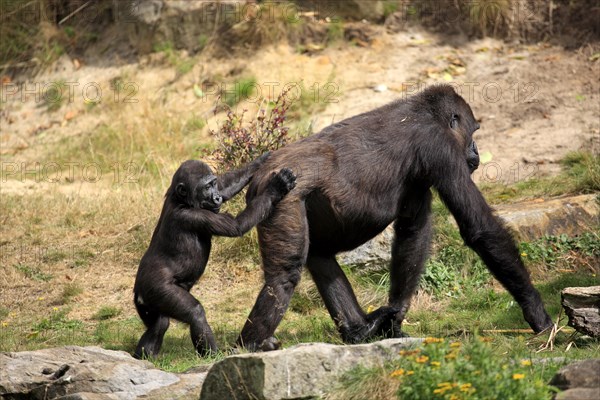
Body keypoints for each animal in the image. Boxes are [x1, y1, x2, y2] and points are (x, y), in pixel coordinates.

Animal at [135, 158, 296, 358]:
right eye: (206, 187)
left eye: (213, 184)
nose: (216, 197)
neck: (182, 200)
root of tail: (138, 291)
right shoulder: (196, 216)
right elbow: (237, 226)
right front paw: (276, 187)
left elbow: (226, 185)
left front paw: (261, 160)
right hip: (156, 288)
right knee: (194, 313)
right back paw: (214, 355)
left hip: (148, 302)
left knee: (159, 324)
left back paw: (143, 355)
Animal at [238, 84, 552, 350]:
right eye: (472, 133)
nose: (476, 150)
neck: (425, 113)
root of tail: (261, 169)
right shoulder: (441, 148)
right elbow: (480, 229)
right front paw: (536, 311)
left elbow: (412, 235)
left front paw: (394, 320)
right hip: (281, 195)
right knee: (285, 274)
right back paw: (251, 343)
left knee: (319, 254)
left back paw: (358, 330)